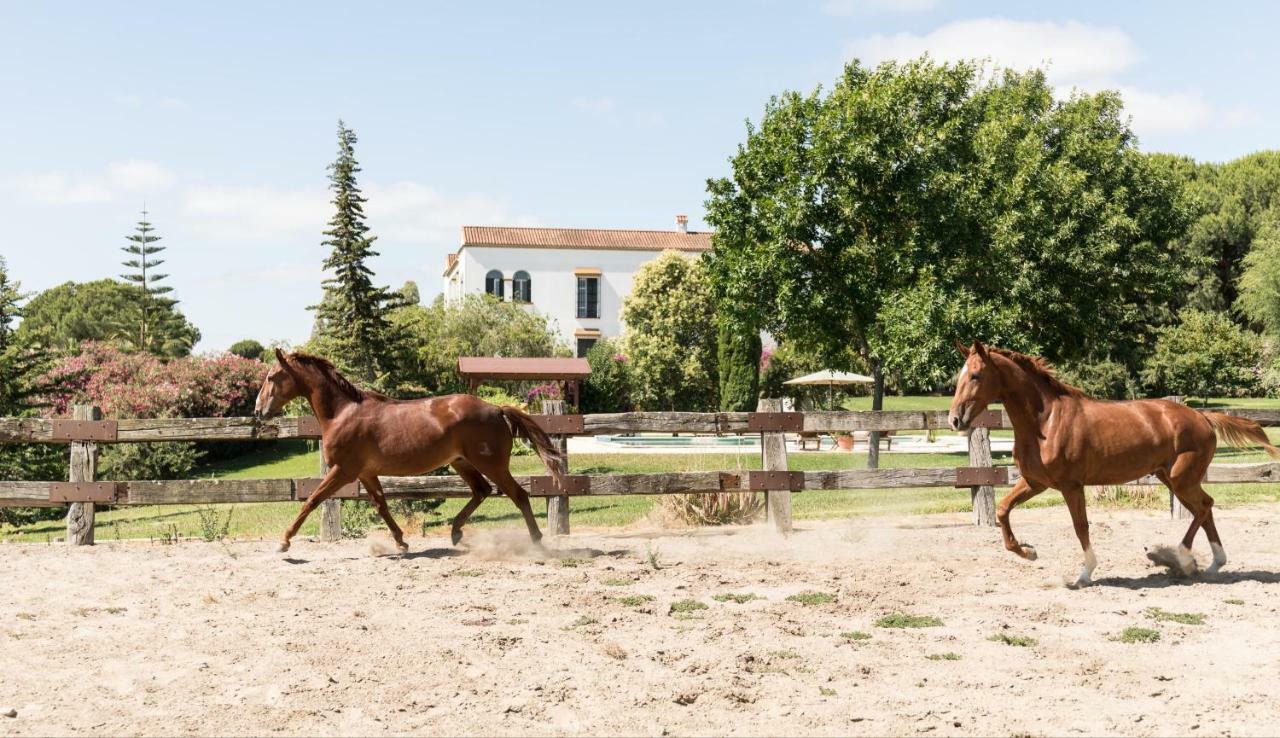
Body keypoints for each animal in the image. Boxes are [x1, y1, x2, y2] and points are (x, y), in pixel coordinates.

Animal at [254, 350, 565, 552]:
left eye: (272, 377)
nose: (258, 411)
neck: (343, 413)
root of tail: (497, 409)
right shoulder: (366, 473)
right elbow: (381, 504)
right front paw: (401, 542)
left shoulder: (344, 471)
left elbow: (312, 500)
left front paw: (284, 541)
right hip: (461, 462)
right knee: (482, 491)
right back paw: (456, 533)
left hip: (492, 465)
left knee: (518, 495)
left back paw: (536, 542)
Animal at [947, 340, 1274, 588]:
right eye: (959, 377)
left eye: (975, 375)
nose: (955, 420)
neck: (1045, 422)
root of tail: (1203, 417)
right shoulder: (1035, 482)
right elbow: (1003, 510)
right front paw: (1029, 552)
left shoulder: (1070, 485)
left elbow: (1081, 526)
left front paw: (1084, 574)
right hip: (1171, 478)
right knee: (1203, 509)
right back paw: (1212, 565)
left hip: (1182, 479)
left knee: (1204, 507)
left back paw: (1184, 557)